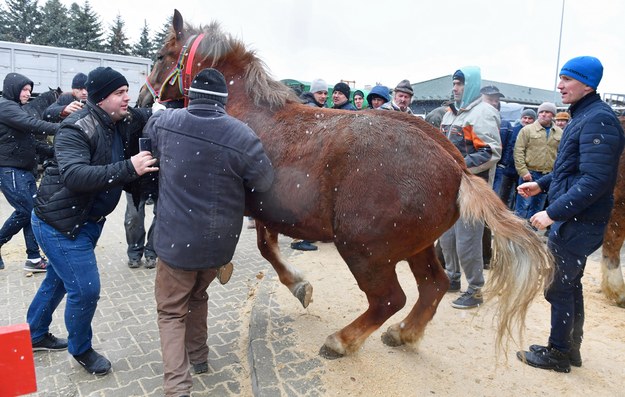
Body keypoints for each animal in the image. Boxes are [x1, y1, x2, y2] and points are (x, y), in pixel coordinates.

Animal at [139, 8, 552, 356]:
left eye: (159, 56)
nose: (143, 97)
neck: (244, 111)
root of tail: (456, 167)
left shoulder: (249, 205)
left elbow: (265, 249)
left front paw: (299, 285)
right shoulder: (266, 210)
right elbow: (266, 247)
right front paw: (298, 285)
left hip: (363, 248)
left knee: (389, 299)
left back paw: (342, 340)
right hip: (417, 246)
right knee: (431, 286)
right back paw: (404, 333)